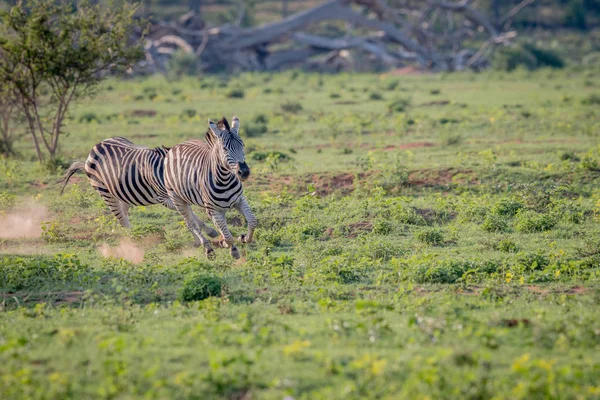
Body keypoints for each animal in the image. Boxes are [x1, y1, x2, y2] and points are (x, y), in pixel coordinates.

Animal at [56, 136, 218, 239]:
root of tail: (97, 145)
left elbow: (189, 212)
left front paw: (206, 231)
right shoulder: (164, 197)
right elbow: (189, 212)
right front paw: (209, 231)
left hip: (122, 191)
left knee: (122, 213)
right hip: (104, 190)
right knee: (119, 215)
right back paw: (133, 237)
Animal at [165, 115, 256, 260]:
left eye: (243, 145)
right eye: (224, 149)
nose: (245, 172)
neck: (224, 179)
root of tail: (177, 145)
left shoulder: (239, 200)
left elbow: (252, 221)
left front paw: (244, 238)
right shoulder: (213, 209)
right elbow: (228, 237)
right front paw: (230, 248)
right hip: (177, 199)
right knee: (191, 224)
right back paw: (208, 249)